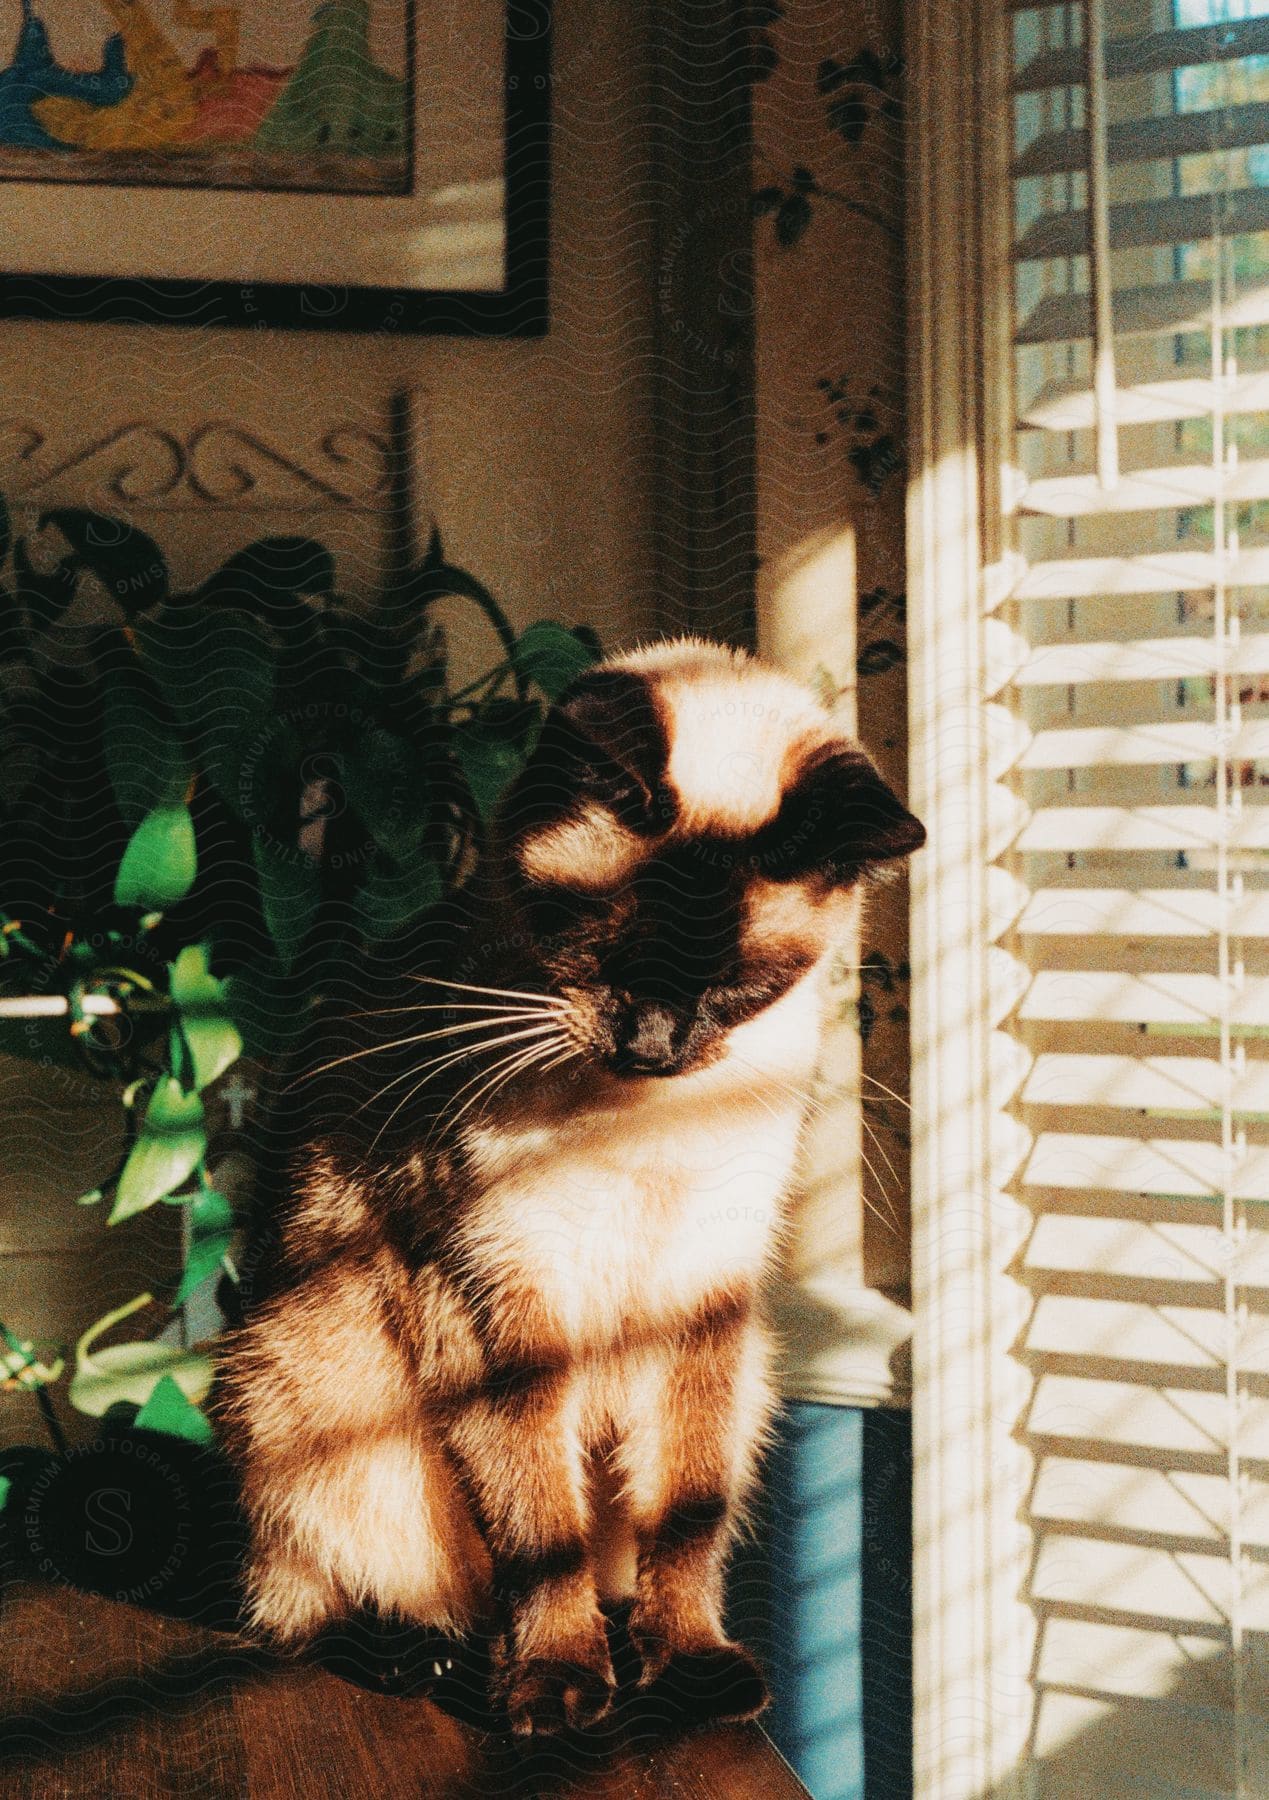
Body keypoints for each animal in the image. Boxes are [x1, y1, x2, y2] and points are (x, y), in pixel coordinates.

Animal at [212, 640, 928, 1735]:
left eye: (735, 989)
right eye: (604, 950)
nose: (655, 1044)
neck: (642, 1121)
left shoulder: (703, 1291)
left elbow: (685, 1521)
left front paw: (689, 1665)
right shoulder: (503, 1299)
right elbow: (540, 1529)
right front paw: (555, 1684)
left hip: (748, 1375)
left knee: (611, 1560)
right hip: (312, 1395)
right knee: (313, 1606)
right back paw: (435, 1658)